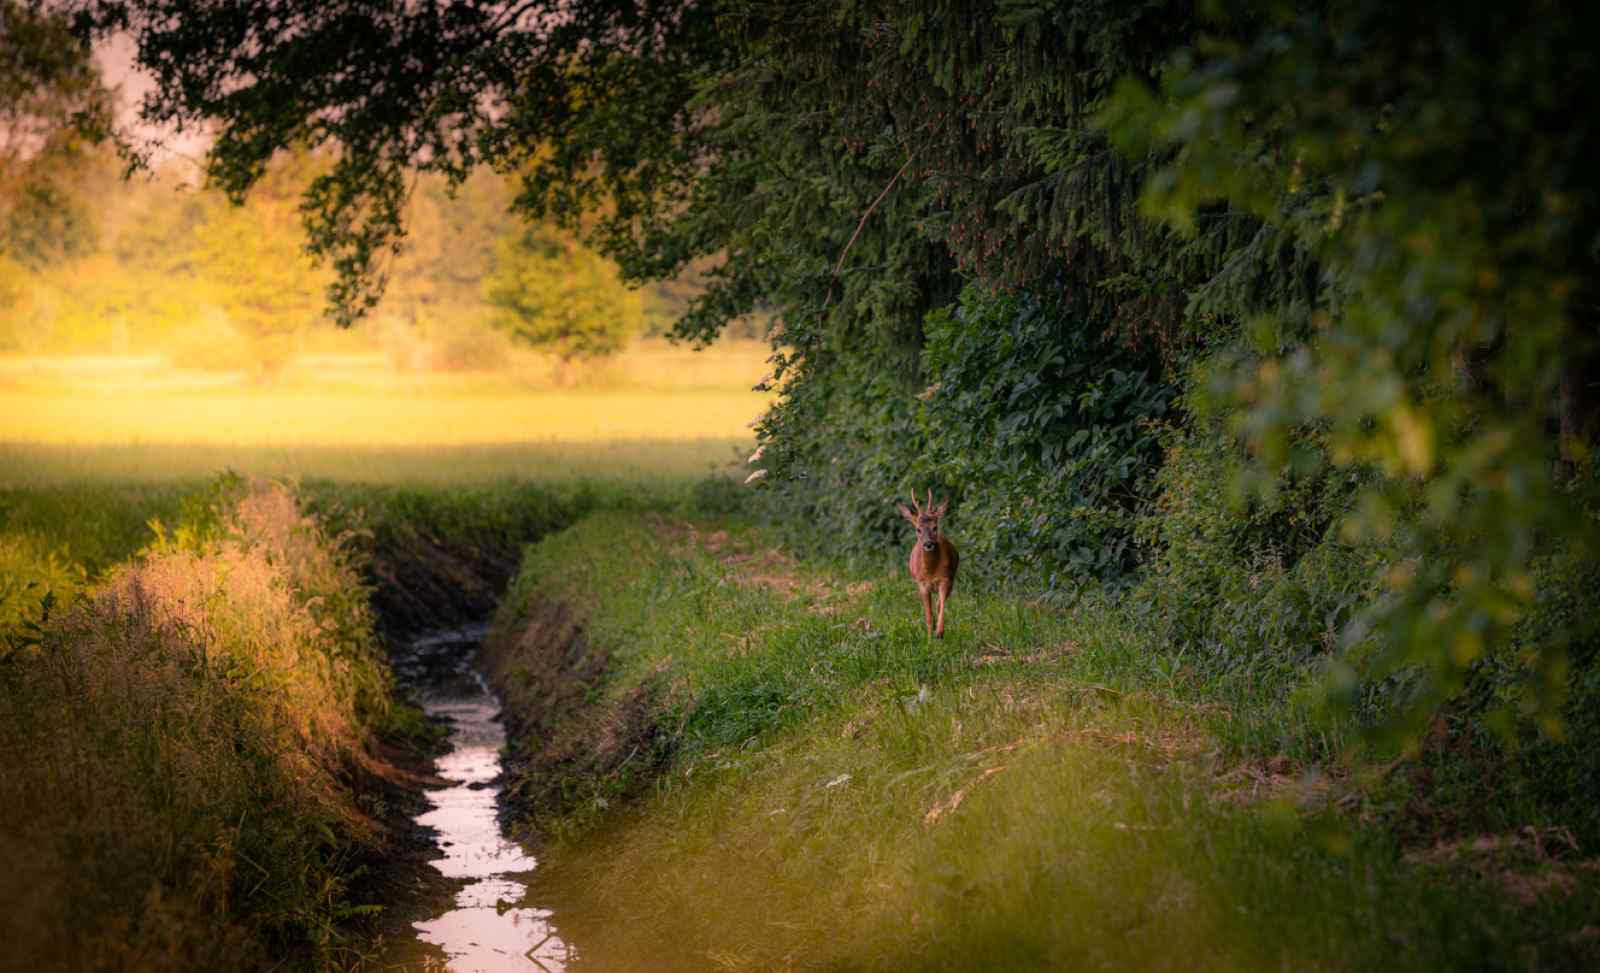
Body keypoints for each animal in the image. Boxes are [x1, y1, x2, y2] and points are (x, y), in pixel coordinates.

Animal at [896, 486, 953, 640]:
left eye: (935, 527)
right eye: (918, 529)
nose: (928, 544)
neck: (930, 571)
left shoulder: (945, 580)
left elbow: (941, 606)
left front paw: (939, 631)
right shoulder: (922, 585)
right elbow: (928, 615)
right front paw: (929, 639)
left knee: (938, 604)